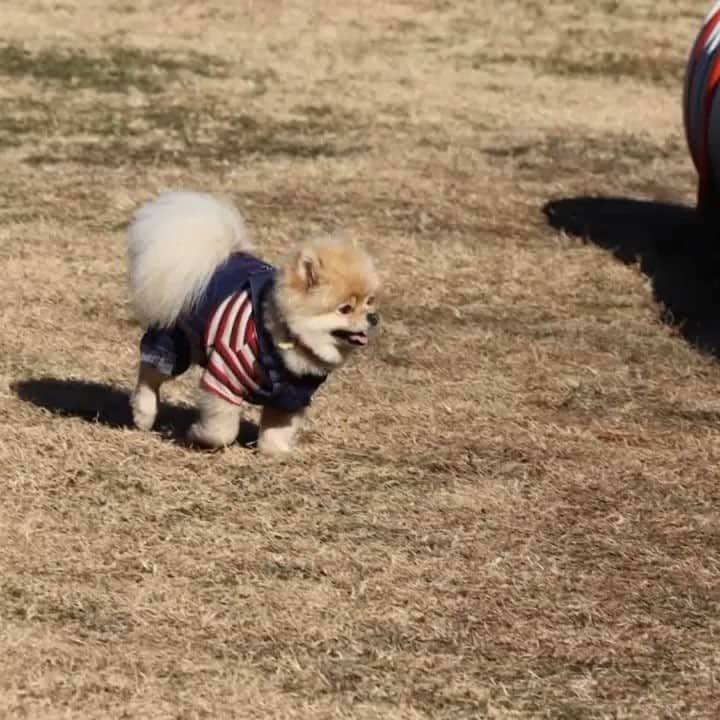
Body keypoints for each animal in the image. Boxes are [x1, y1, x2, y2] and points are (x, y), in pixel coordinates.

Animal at [126, 190, 380, 456]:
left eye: (370, 301)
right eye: (345, 309)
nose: (373, 317)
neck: (285, 337)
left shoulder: (291, 395)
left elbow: (277, 429)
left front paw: (275, 452)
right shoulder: (225, 376)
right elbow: (221, 430)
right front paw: (198, 436)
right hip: (174, 342)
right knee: (150, 376)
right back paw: (143, 414)